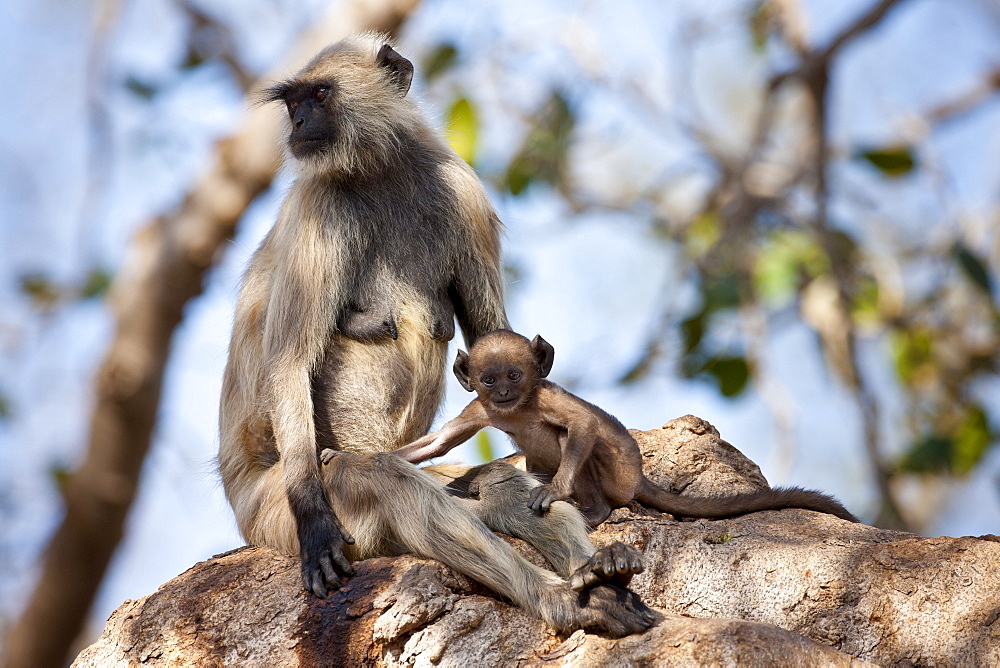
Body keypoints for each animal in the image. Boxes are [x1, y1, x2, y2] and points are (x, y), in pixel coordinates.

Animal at [219, 32, 656, 636]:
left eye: (320, 95)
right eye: (294, 102)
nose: (300, 121)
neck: (379, 171)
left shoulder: (461, 186)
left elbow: (492, 332)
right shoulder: (317, 207)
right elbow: (289, 362)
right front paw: (316, 523)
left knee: (495, 484)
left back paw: (598, 574)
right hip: (273, 508)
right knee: (382, 479)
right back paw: (565, 600)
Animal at [396, 328, 860, 528]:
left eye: (515, 375)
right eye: (490, 379)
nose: (506, 392)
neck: (516, 411)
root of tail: (638, 479)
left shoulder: (543, 398)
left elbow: (581, 423)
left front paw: (557, 492)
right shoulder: (482, 408)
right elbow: (439, 443)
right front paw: (385, 459)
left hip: (617, 477)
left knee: (577, 439)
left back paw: (595, 510)